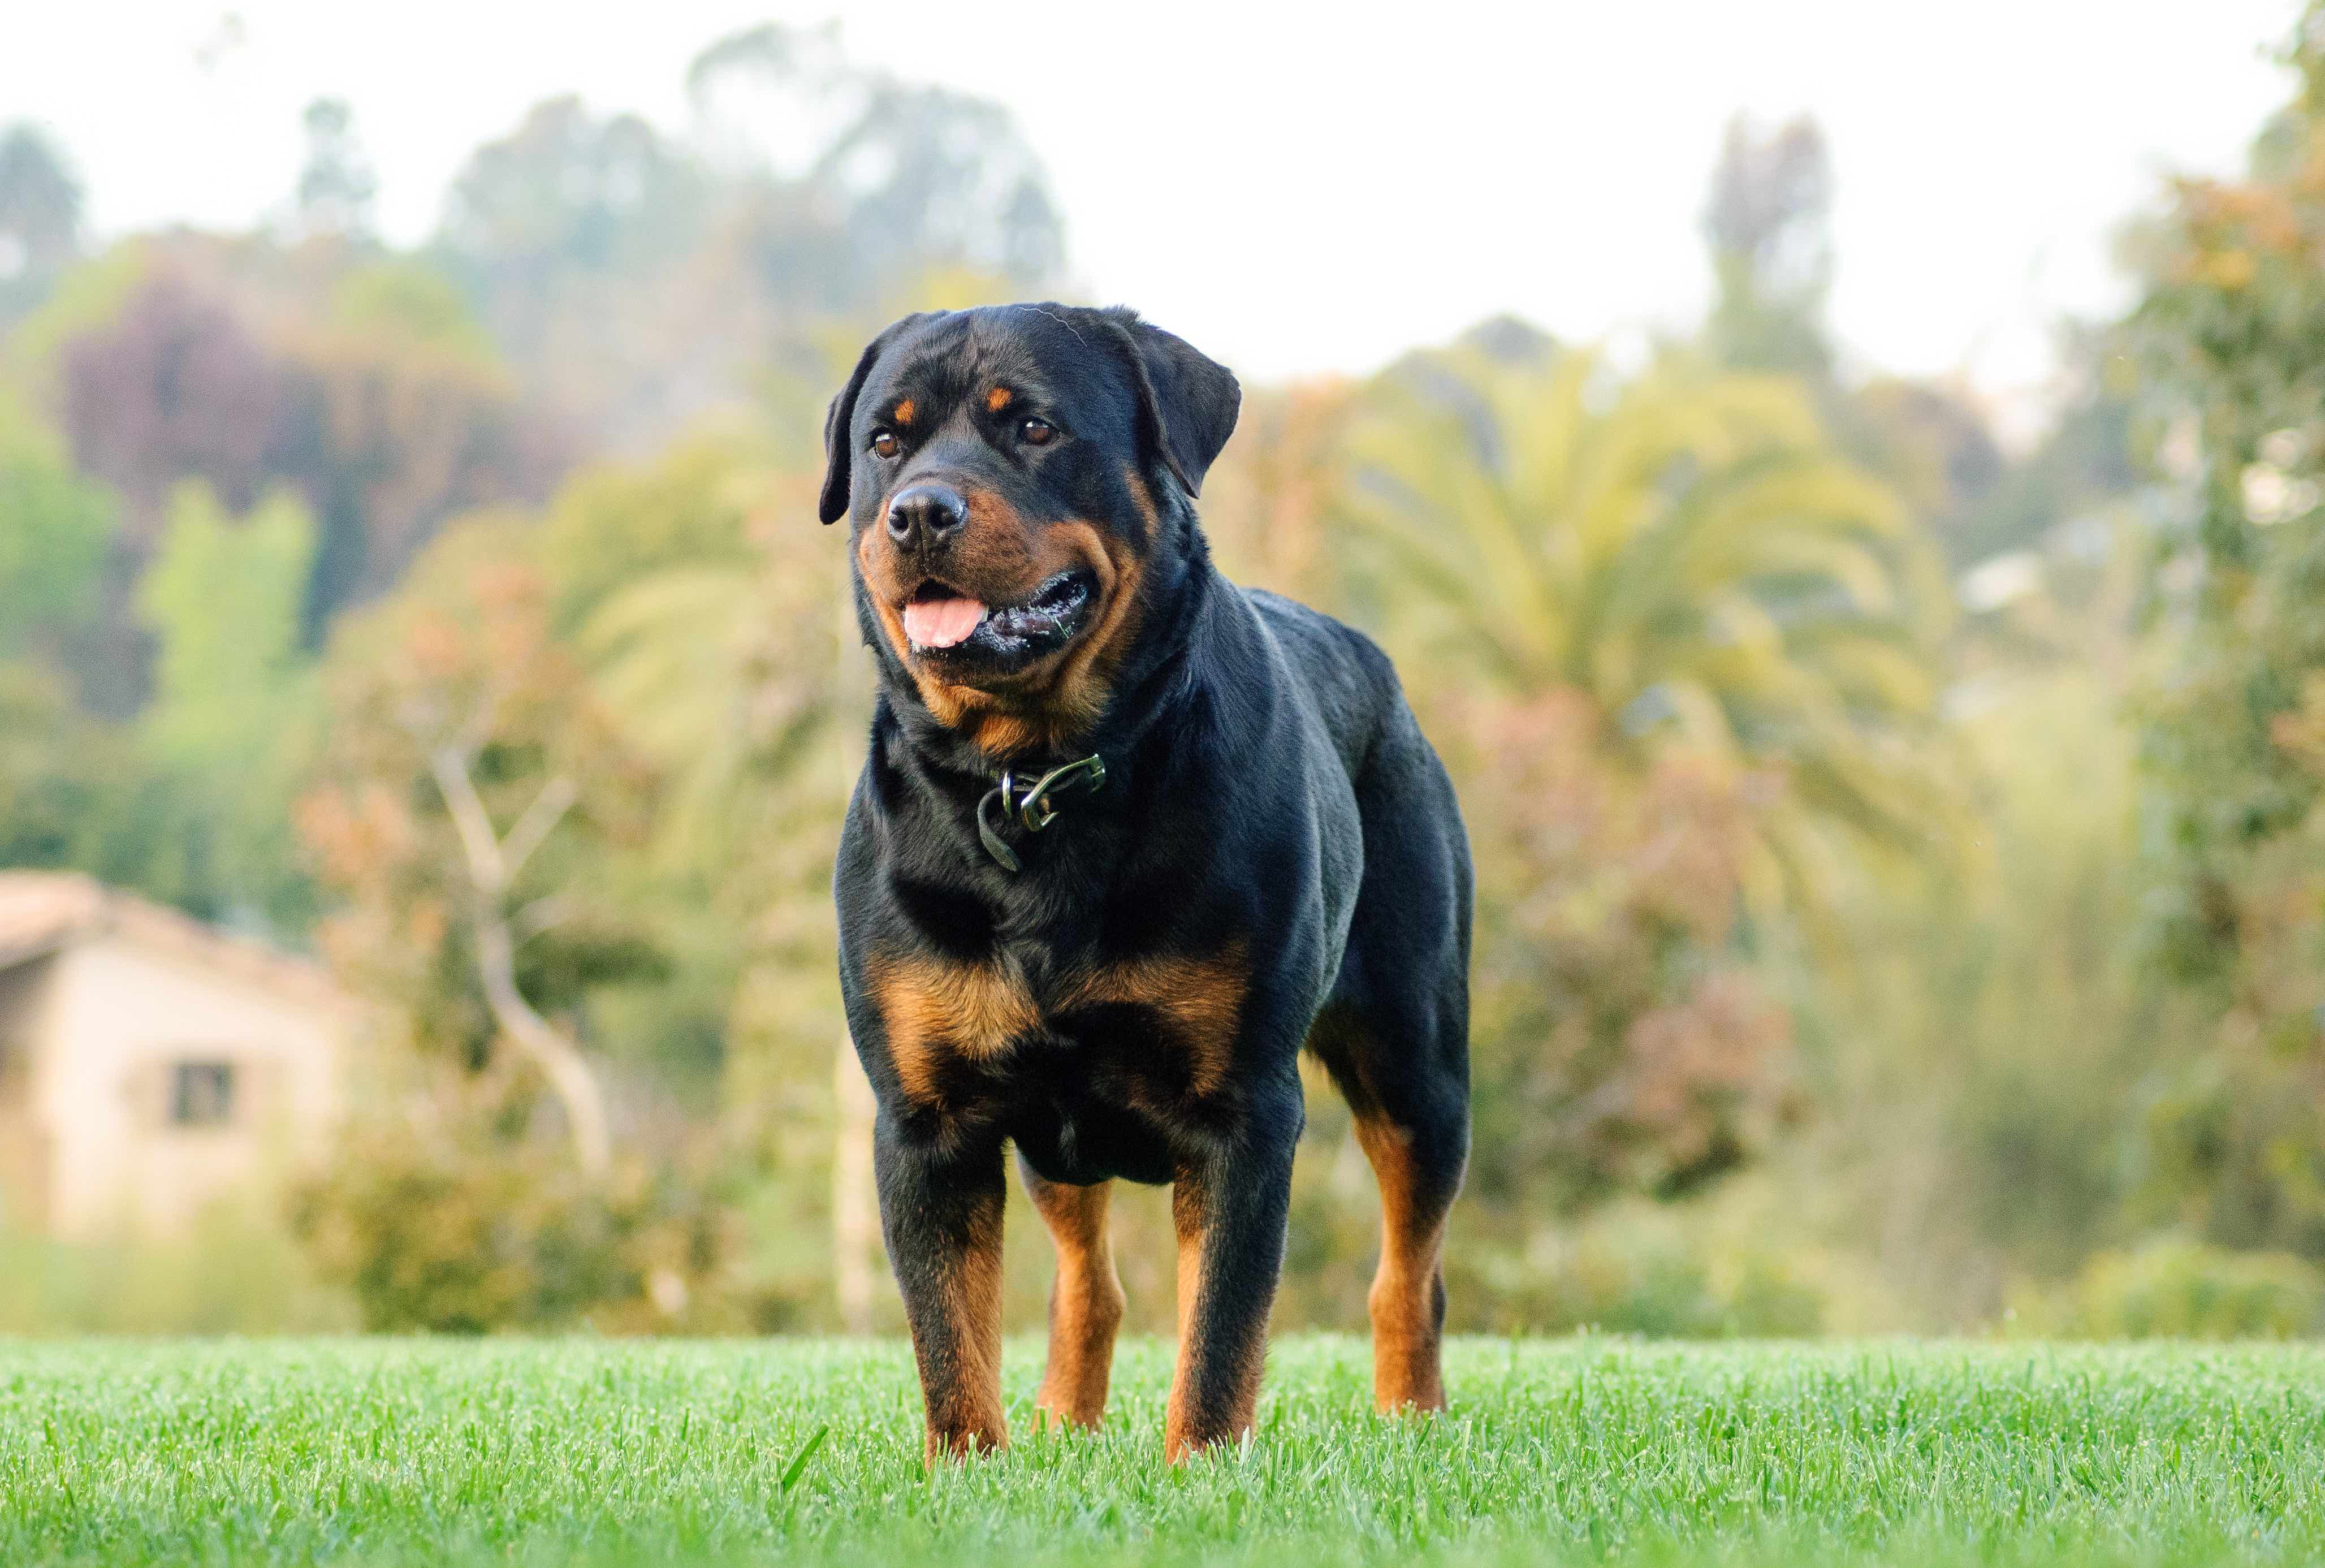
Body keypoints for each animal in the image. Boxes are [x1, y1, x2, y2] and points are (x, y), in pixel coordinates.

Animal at [823, 302, 1469, 1452]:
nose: (919, 512)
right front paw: (969, 1469)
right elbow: (951, 1347)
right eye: (885, 442)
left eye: (1034, 428)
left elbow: (1218, 1336)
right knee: (1088, 1284)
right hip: (1050, 1131)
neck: (1034, 778)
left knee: (1409, 1273)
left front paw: (1200, 1468)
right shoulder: (926, 1118)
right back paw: (1062, 1422)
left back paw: (1408, 1422)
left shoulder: (1243, 1112)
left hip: (1417, 1059)